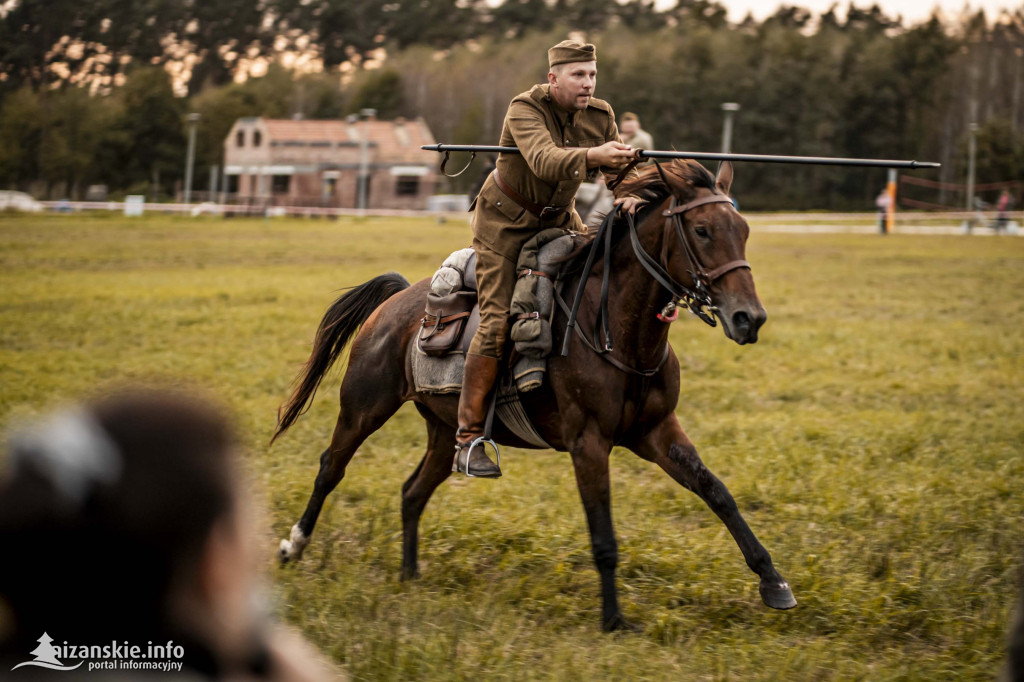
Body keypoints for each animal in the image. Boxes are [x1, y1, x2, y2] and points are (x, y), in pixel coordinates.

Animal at [274, 157, 798, 626]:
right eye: (704, 230)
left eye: (743, 230)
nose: (749, 318)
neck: (612, 327)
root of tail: (396, 300)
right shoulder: (589, 443)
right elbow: (603, 535)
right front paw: (613, 619)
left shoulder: (657, 432)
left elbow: (717, 492)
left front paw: (773, 581)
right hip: (363, 408)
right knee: (331, 468)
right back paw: (293, 546)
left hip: (445, 433)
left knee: (412, 492)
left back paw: (409, 574)